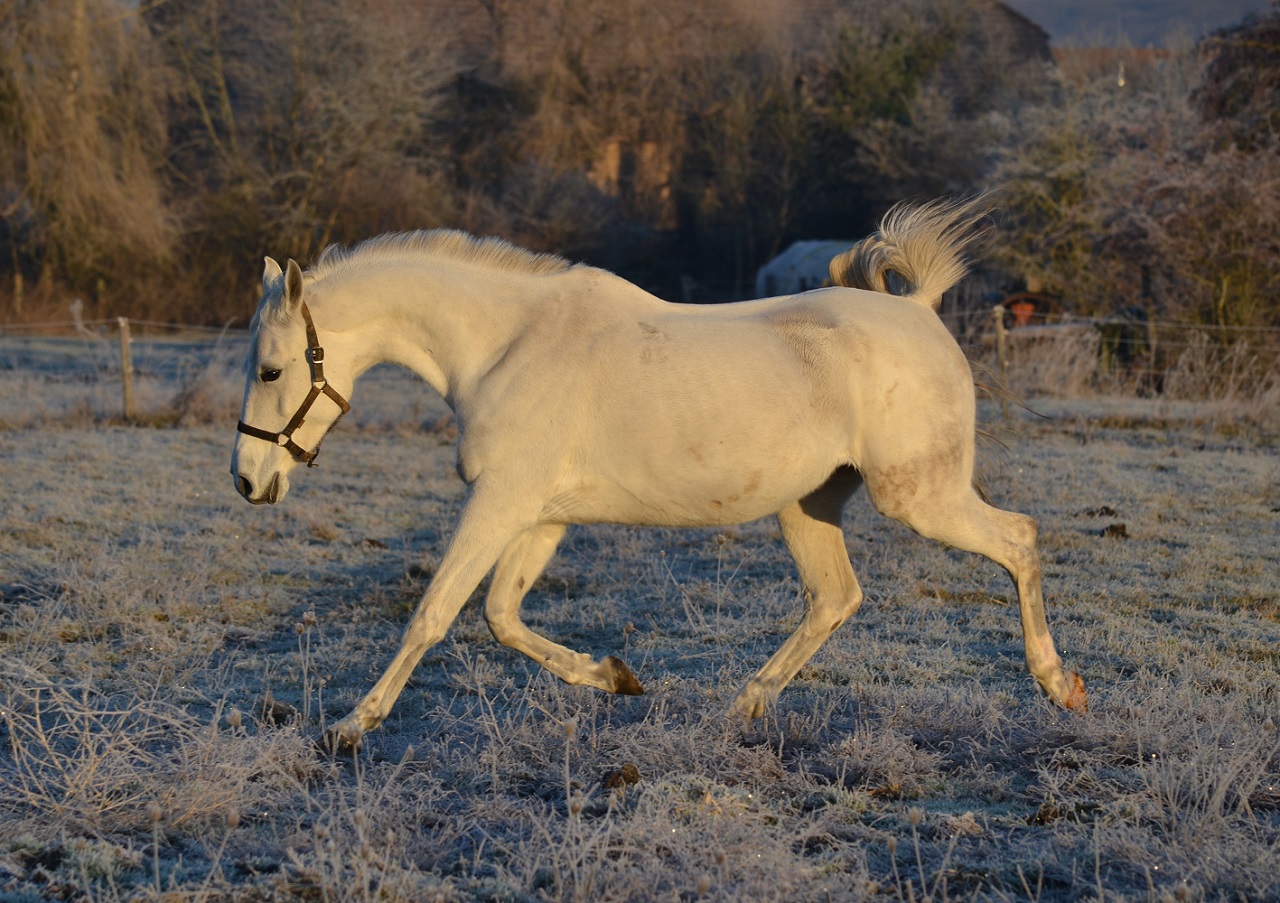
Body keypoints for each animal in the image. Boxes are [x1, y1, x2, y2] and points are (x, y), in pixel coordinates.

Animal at [231, 198, 1087, 749]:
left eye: (270, 369)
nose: (246, 481)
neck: (506, 344)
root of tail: (922, 312)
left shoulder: (500, 502)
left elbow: (434, 614)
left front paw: (349, 727)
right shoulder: (541, 515)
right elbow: (503, 616)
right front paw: (615, 677)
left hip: (918, 496)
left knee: (1018, 539)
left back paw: (1058, 683)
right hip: (806, 506)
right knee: (835, 597)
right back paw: (742, 707)